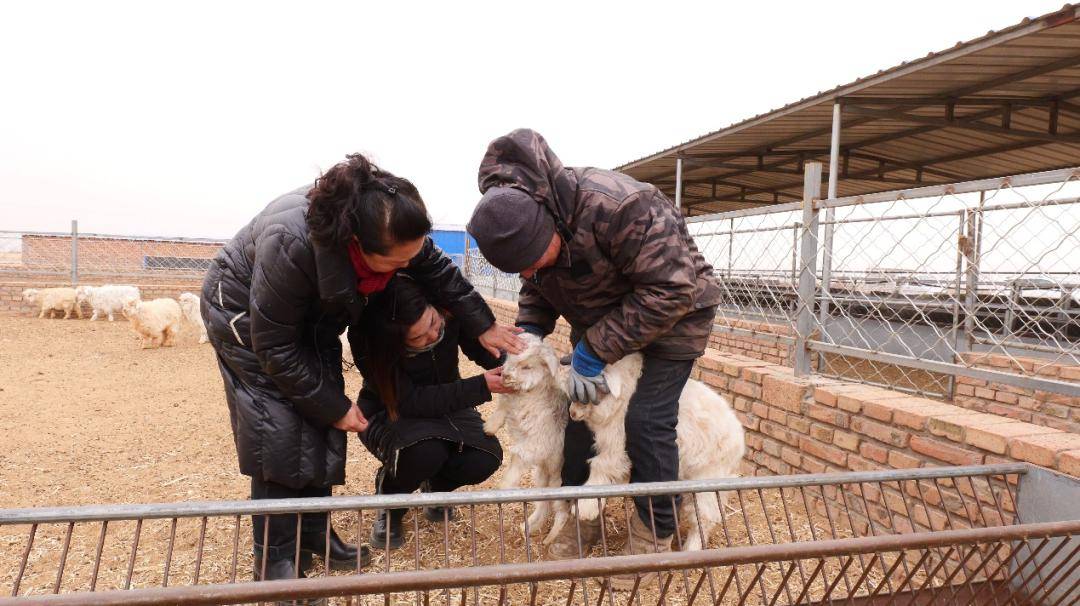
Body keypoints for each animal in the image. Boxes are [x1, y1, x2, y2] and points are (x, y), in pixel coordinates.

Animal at [486, 332, 574, 540]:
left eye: (527, 366)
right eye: (509, 358)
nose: (505, 375)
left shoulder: (536, 443)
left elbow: (516, 458)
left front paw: (503, 488)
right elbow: (502, 406)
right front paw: (489, 427)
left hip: (559, 481)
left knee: (562, 512)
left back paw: (550, 539)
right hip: (543, 476)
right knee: (544, 504)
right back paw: (528, 527)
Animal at [570, 352, 747, 550]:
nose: (572, 413)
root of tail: (740, 439)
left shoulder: (617, 446)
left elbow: (600, 466)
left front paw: (584, 507)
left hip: (708, 480)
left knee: (703, 518)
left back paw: (691, 548)